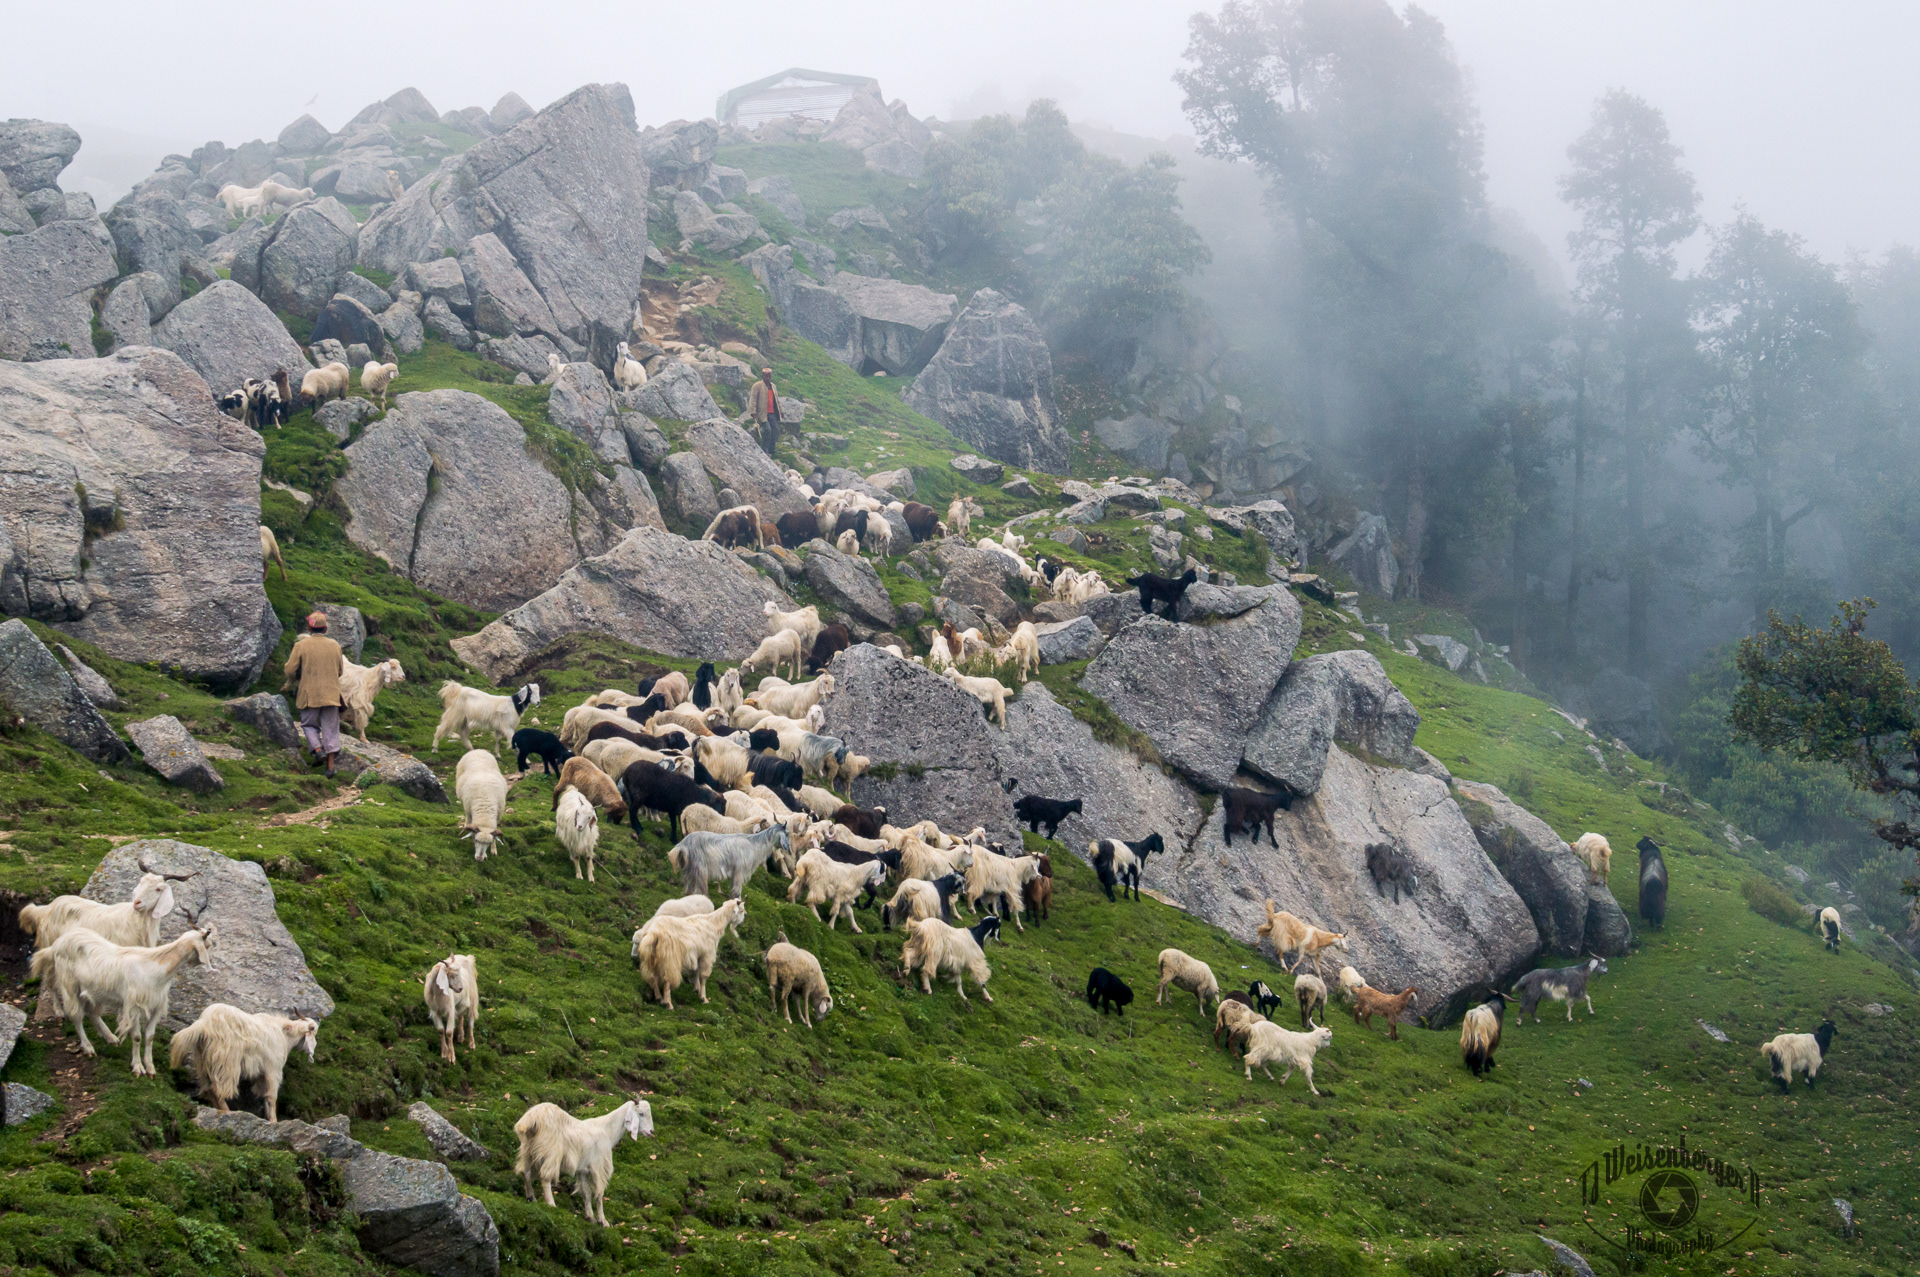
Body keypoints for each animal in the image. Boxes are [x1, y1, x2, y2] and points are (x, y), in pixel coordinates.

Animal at [168, 1004, 317, 1122]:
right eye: (314, 1031)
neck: (284, 1034)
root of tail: (204, 1023)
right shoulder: (273, 1068)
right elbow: (271, 1096)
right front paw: (274, 1121)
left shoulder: (262, 1074)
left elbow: (264, 1096)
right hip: (226, 1061)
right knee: (217, 1089)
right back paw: (227, 1111)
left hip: (203, 1061)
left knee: (207, 1089)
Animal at [514, 1098, 654, 1226]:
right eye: (641, 1113)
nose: (651, 1132)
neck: (607, 1131)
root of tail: (530, 1120)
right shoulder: (599, 1167)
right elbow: (599, 1194)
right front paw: (603, 1221)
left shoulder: (582, 1170)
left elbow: (587, 1193)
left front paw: (590, 1217)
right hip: (551, 1152)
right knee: (545, 1177)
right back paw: (551, 1204)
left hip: (527, 1149)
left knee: (525, 1172)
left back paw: (531, 1198)